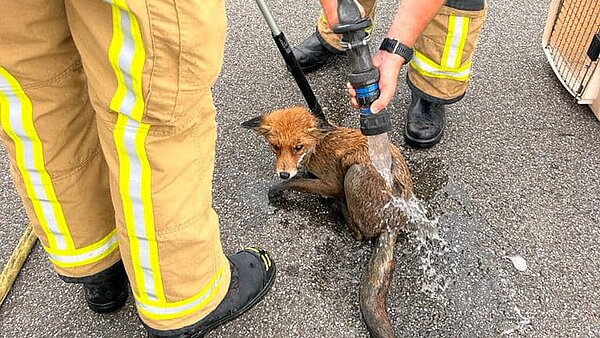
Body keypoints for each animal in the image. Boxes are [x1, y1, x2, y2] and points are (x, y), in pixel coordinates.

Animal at [241, 106, 414, 338]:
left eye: (298, 147)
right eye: (275, 147)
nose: (283, 173)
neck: (317, 146)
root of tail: (394, 222)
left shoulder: (331, 183)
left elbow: (299, 182)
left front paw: (279, 188)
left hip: (353, 175)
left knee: (360, 234)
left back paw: (338, 205)